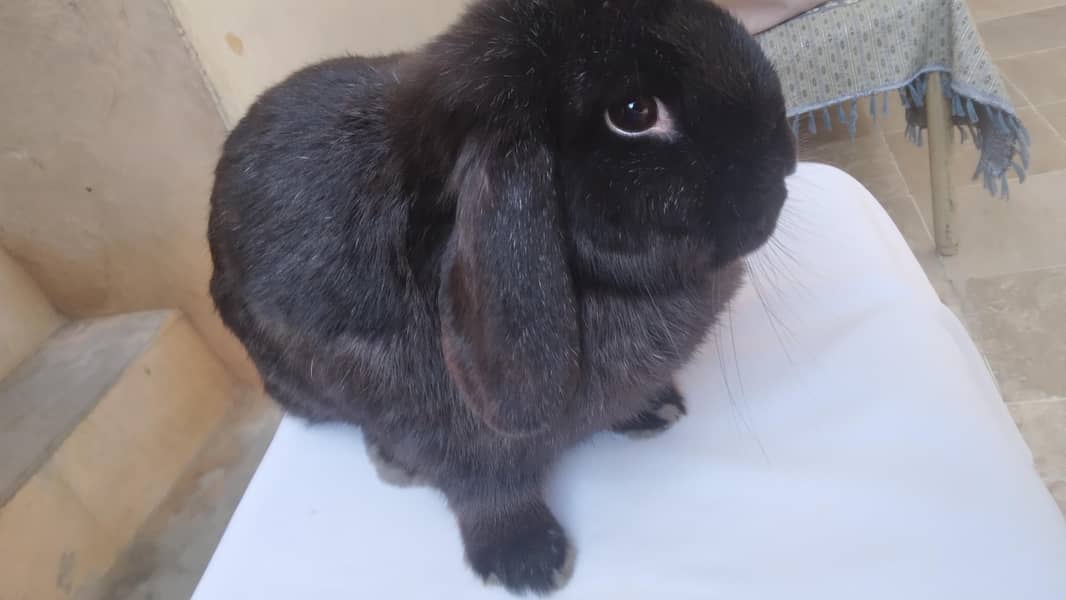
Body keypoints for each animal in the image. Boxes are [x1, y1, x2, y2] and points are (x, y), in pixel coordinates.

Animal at [207, 0, 796, 594]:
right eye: (634, 112)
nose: (786, 159)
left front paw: (654, 409)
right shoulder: (449, 439)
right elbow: (486, 492)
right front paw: (529, 562)